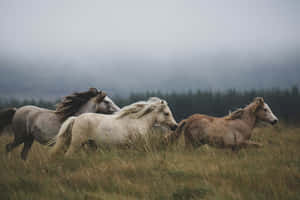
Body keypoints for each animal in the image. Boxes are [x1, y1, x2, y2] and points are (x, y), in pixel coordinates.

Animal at [49, 97, 178, 156]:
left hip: (88, 145)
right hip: (76, 143)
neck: (138, 122)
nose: (175, 126)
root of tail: (76, 119)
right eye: (166, 113)